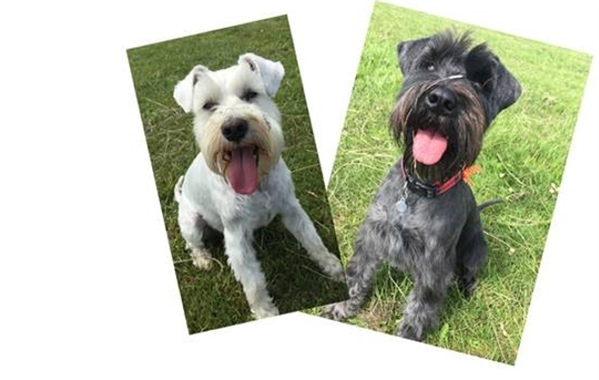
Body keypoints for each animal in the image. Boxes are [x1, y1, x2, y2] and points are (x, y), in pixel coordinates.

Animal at [171, 52, 344, 318]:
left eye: (250, 94)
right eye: (208, 105)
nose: (233, 128)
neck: (258, 184)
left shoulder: (292, 209)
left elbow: (313, 241)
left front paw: (334, 267)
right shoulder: (236, 239)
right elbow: (253, 283)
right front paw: (265, 313)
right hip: (191, 223)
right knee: (194, 244)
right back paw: (203, 260)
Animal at [324, 31, 520, 342]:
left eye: (480, 82)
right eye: (428, 64)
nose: (441, 100)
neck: (418, 189)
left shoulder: (434, 264)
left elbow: (420, 308)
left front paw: (408, 336)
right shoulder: (372, 235)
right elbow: (357, 273)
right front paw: (343, 305)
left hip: (476, 251)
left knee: (469, 272)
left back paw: (467, 289)